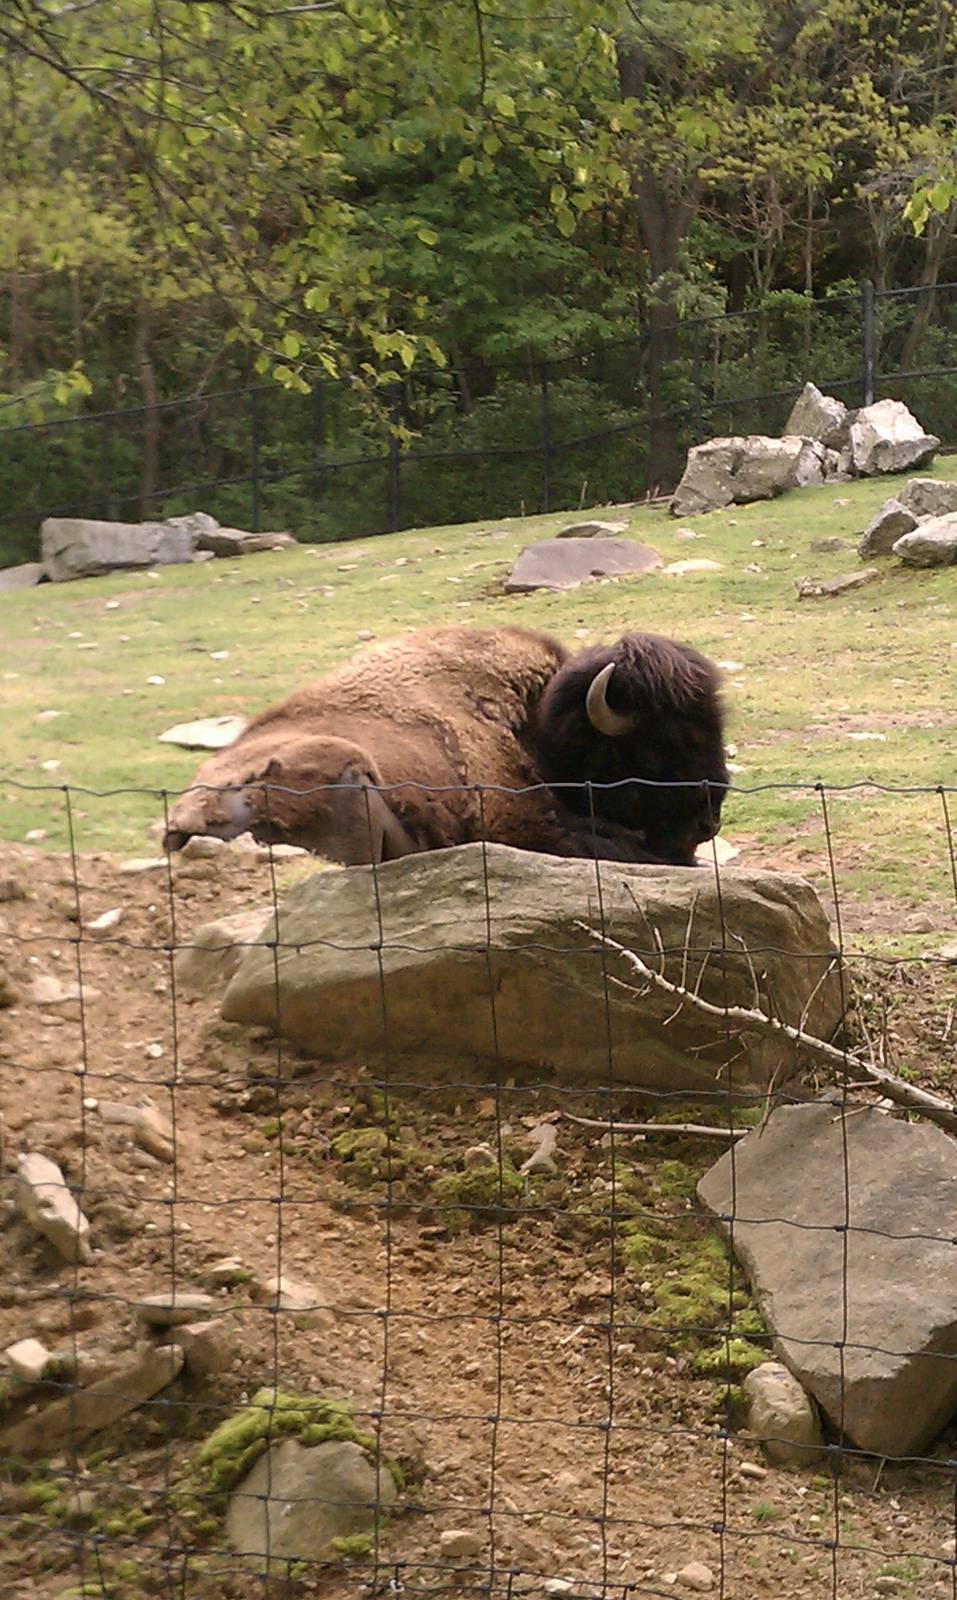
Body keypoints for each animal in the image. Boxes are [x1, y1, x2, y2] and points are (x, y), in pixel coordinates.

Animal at [163, 624, 729, 867]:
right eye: (662, 742)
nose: (707, 823)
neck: (535, 726)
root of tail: (184, 816)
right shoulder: (523, 824)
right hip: (348, 765)